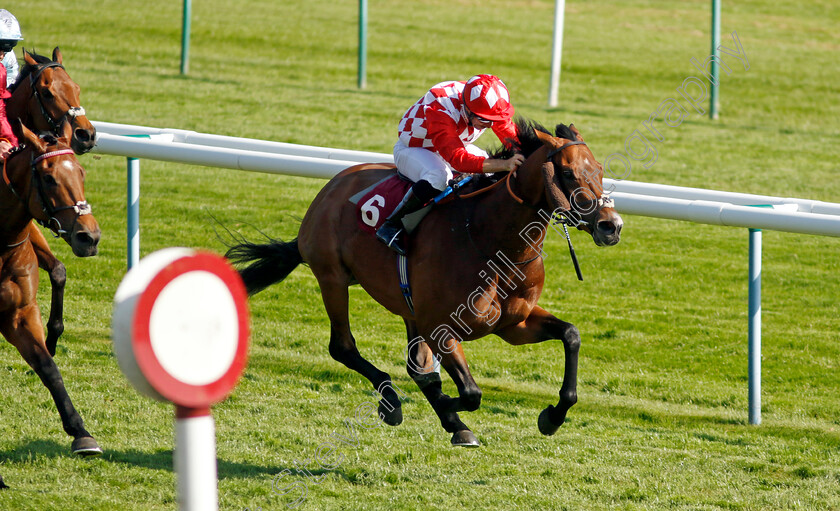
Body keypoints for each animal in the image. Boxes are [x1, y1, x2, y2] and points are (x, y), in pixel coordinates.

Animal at [0, 121, 101, 460]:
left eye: (81, 173)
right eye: (48, 178)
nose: (89, 237)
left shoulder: (19, 313)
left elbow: (48, 368)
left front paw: (81, 433)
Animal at [226, 120, 620, 448]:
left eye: (600, 170)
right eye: (566, 172)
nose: (611, 225)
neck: (491, 239)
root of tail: (330, 188)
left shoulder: (513, 324)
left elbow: (570, 335)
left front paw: (551, 417)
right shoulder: (441, 326)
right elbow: (468, 392)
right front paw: (445, 408)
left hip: (406, 305)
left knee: (410, 362)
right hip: (332, 277)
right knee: (343, 347)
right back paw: (392, 402)